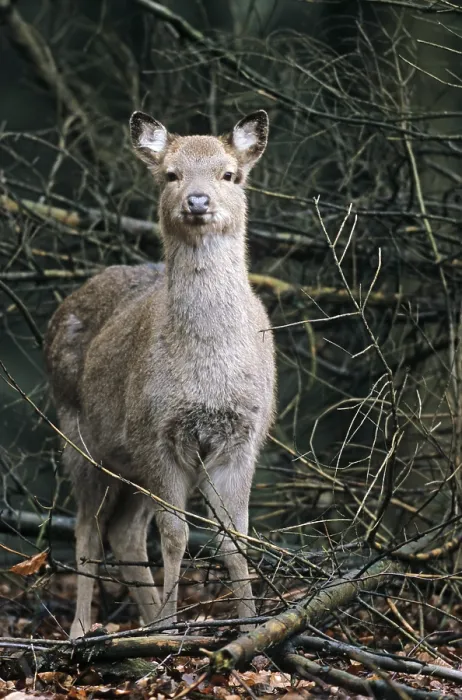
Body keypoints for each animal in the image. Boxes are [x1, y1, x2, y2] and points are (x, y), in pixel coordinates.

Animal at [44, 109, 276, 639]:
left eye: (229, 174)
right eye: (171, 174)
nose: (197, 200)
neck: (209, 373)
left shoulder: (244, 437)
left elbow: (234, 537)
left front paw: (252, 627)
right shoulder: (157, 433)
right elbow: (175, 535)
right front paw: (174, 628)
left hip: (130, 463)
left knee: (125, 531)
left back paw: (146, 625)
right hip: (79, 435)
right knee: (88, 529)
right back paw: (85, 629)